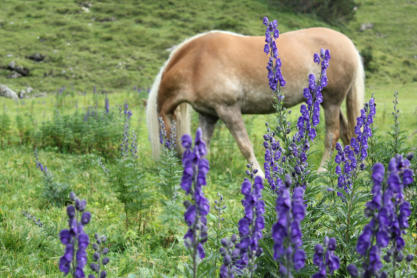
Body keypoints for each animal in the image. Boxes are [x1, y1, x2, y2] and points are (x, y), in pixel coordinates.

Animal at [145, 27, 362, 176]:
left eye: (162, 134)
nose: (171, 162)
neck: (197, 62)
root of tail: (348, 44)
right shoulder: (209, 115)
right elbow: (203, 146)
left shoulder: (228, 110)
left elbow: (245, 146)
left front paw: (261, 176)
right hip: (326, 102)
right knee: (345, 132)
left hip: (332, 102)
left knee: (332, 136)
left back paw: (322, 171)